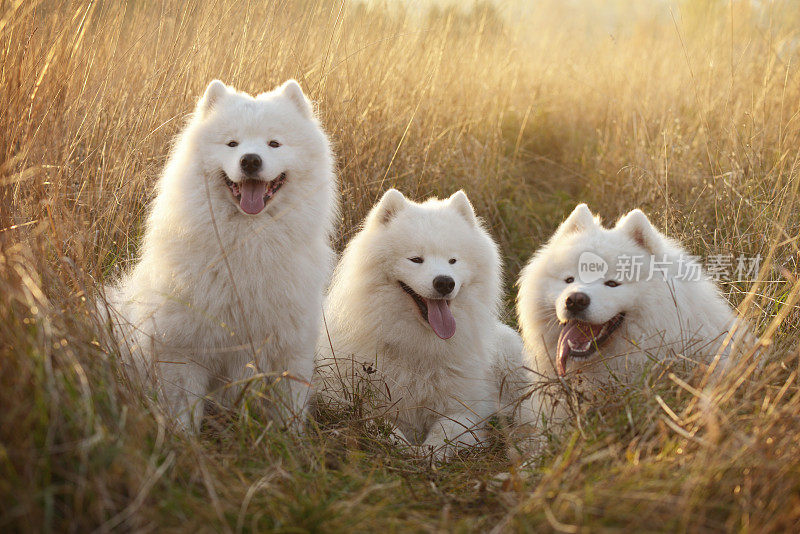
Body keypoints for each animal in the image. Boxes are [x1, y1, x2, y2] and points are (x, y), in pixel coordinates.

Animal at [102, 78, 334, 432]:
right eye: (232, 143)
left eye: (274, 144)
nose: (250, 160)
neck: (248, 242)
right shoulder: (184, 350)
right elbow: (183, 411)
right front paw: (183, 440)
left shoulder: (290, 350)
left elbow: (288, 412)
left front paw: (291, 442)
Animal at [312, 189, 520, 460]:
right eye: (415, 259)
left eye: (453, 260)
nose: (445, 282)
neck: (418, 346)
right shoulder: (344, 399)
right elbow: (379, 426)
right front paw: (405, 449)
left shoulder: (466, 408)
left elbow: (445, 433)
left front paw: (426, 453)